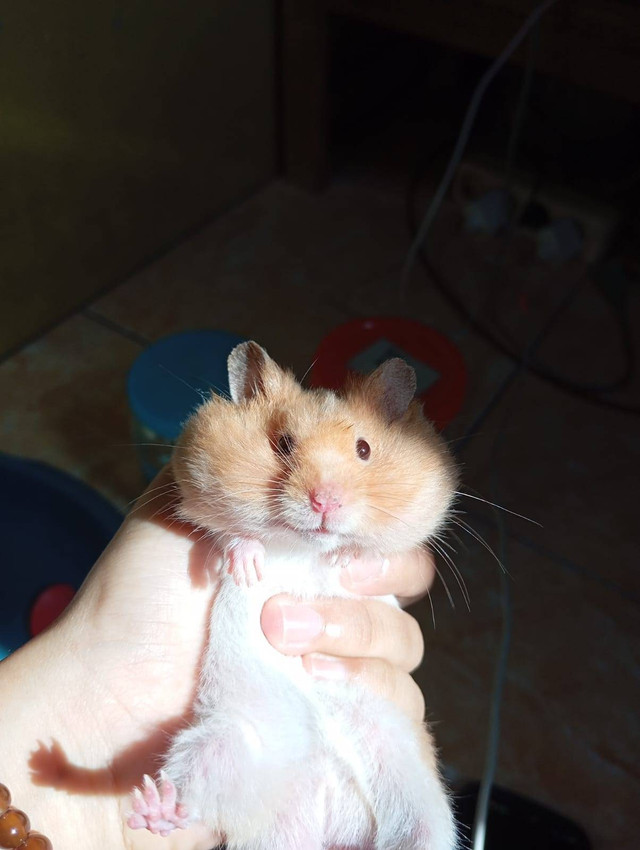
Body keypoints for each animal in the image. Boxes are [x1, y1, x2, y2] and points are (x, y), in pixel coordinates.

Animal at [127, 341, 459, 850]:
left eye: (364, 449)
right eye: (283, 444)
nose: (325, 502)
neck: (306, 547)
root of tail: (326, 822)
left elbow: (376, 550)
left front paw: (346, 560)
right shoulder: (193, 487)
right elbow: (231, 535)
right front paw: (248, 566)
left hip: (419, 791)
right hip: (228, 745)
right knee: (192, 795)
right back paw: (149, 807)